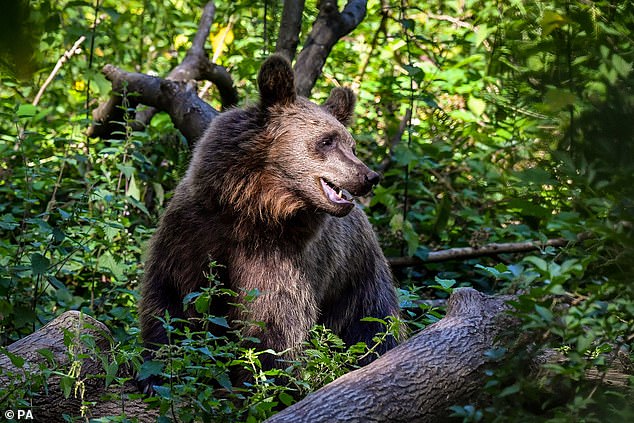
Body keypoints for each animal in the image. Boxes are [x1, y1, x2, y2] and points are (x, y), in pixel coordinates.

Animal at [138, 54, 398, 392]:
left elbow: (273, 319)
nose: (368, 176)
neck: (251, 210)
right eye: (327, 140)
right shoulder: (193, 232)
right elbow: (170, 297)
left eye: (350, 145)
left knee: (373, 324)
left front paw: (264, 383)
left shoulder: (278, 256)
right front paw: (156, 371)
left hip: (356, 276)